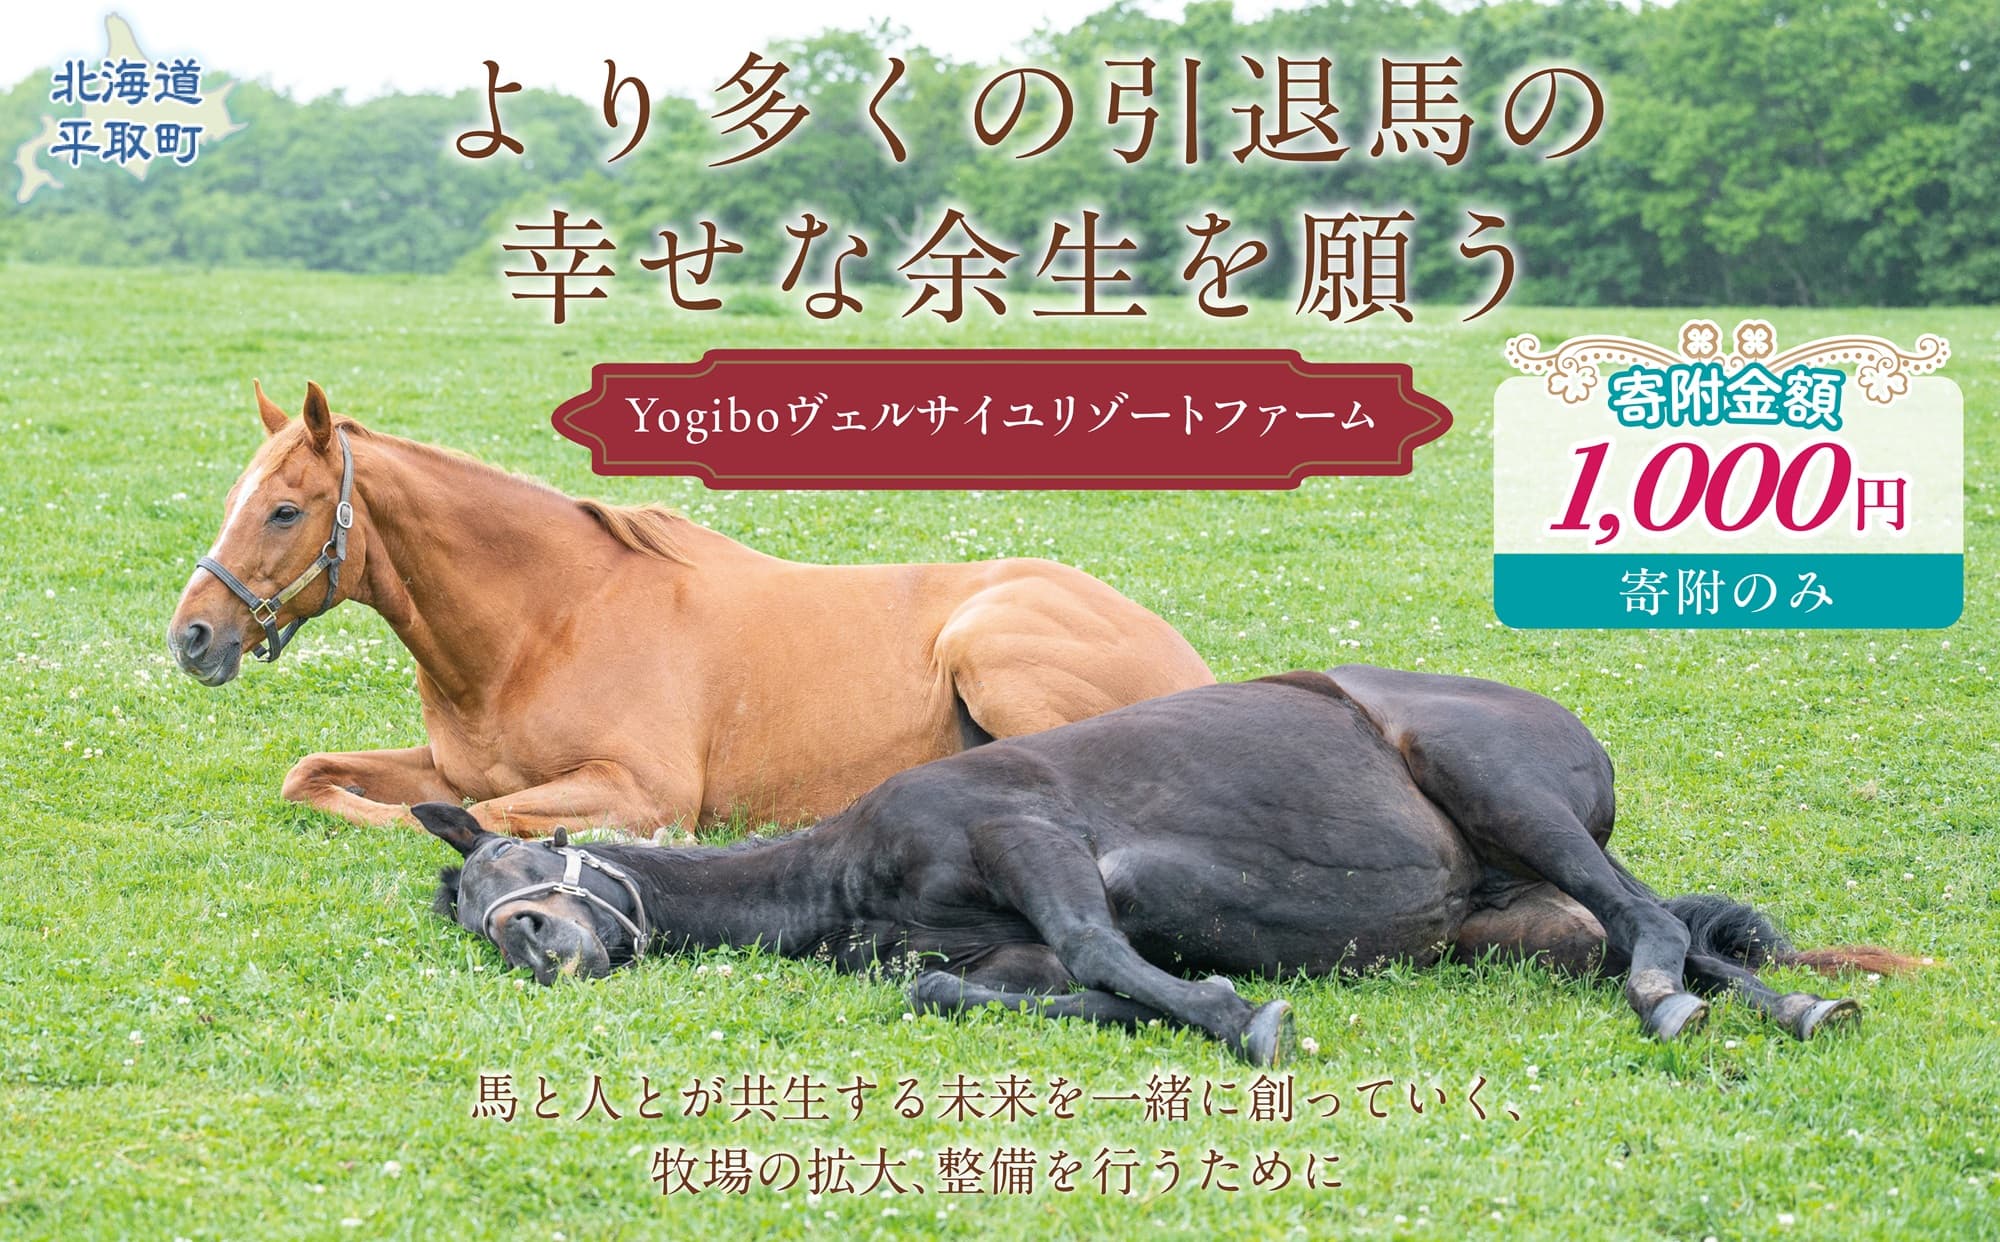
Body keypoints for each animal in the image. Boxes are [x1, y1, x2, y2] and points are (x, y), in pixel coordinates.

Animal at [167, 382, 1214, 835]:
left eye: (285, 510)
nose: (192, 636)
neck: (545, 625)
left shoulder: (639, 787)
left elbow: (477, 815)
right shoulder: (446, 763)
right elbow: (316, 777)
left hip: (988, 648)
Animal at [421, 666, 1914, 1065]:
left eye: (533, 855)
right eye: (477, 909)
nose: (537, 939)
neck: (845, 868)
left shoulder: (1031, 838)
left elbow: (1099, 946)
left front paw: (1240, 1019)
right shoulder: (992, 950)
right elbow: (960, 989)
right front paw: (1178, 1005)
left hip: (1496, 786)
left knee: (1649, 922)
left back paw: (1689, 999)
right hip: (1521, 921)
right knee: (1672, 933)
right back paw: (1779, 1004)